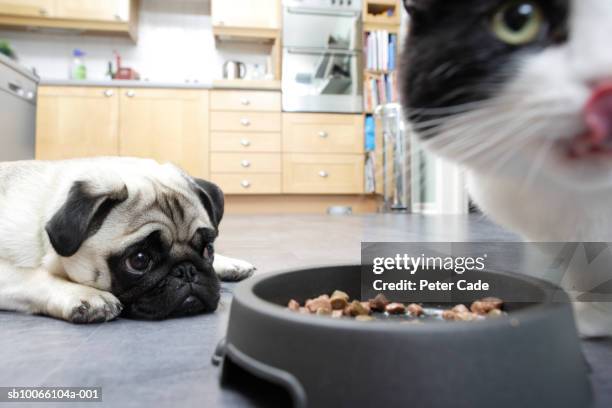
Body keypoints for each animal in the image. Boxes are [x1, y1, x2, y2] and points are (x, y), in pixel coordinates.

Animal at [0, 158, 255, 324]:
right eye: (139, 260)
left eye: (208, 250)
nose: (187, 271)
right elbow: (32, 275)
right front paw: (85, 294)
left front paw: (227, 263)